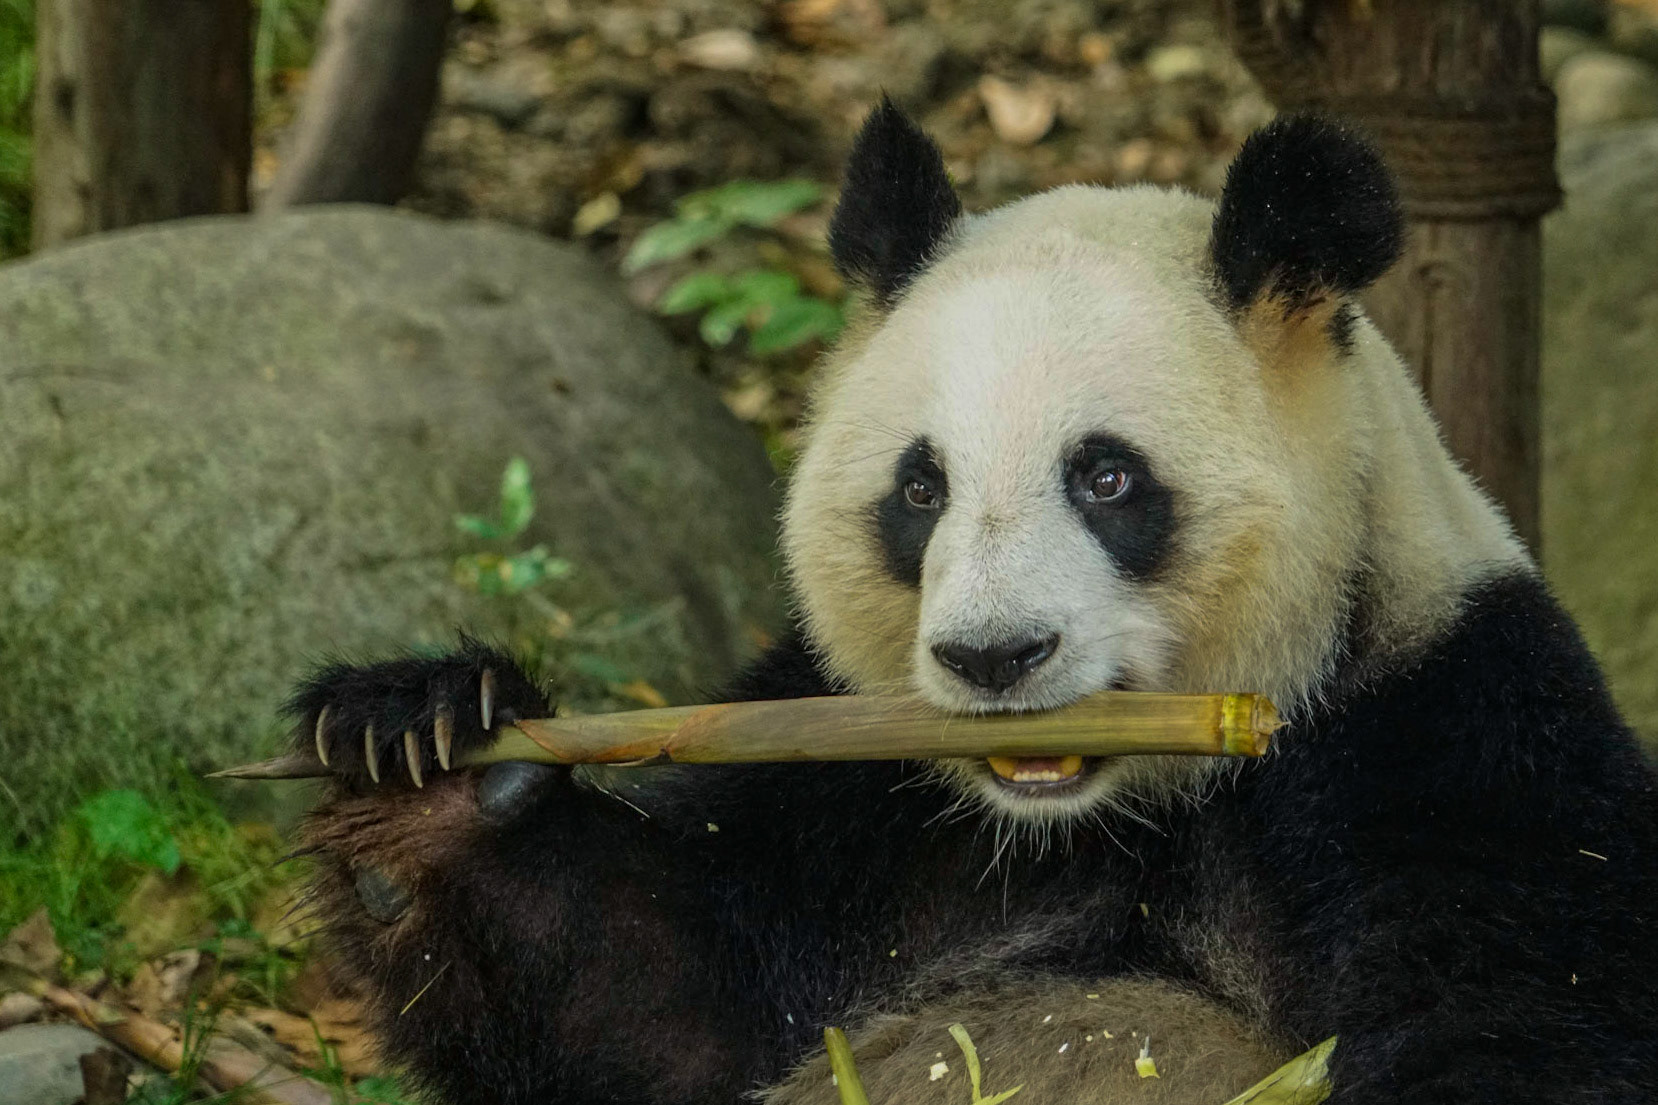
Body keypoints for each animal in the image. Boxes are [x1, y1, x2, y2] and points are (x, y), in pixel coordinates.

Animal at [289, 102, 1658, 1105]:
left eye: (1106, 478)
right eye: (919, 487)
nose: (993, 657)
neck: (1105, 816)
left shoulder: (1448, 745)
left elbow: (1521, 1032)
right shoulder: (858, 788)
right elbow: (657, 1011)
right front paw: (421, 753)